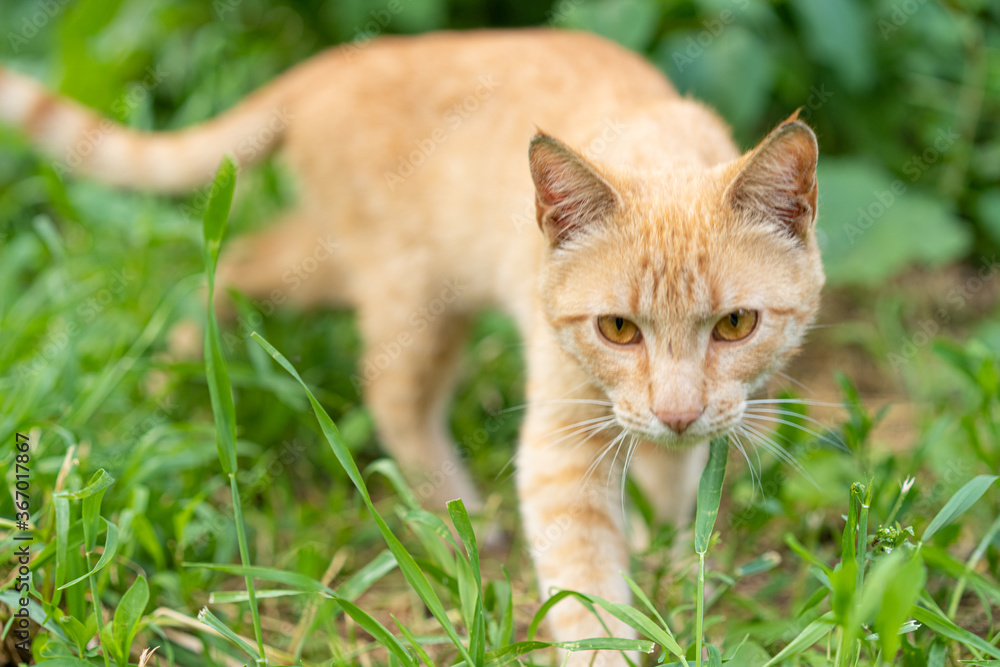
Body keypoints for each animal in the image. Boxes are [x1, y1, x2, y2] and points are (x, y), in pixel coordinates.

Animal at [1, 28, 820, 664]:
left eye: (736, 324)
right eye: (617, 328)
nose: (679, 413)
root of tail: (337, 63)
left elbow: (669, 478)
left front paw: (669, 547)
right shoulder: (560, 440)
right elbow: (585, 582)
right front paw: (612, 630)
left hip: (327, 262)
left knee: (237, 264)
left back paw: (178, 364)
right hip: (408, 301)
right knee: (380, 388)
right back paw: (451, 512)